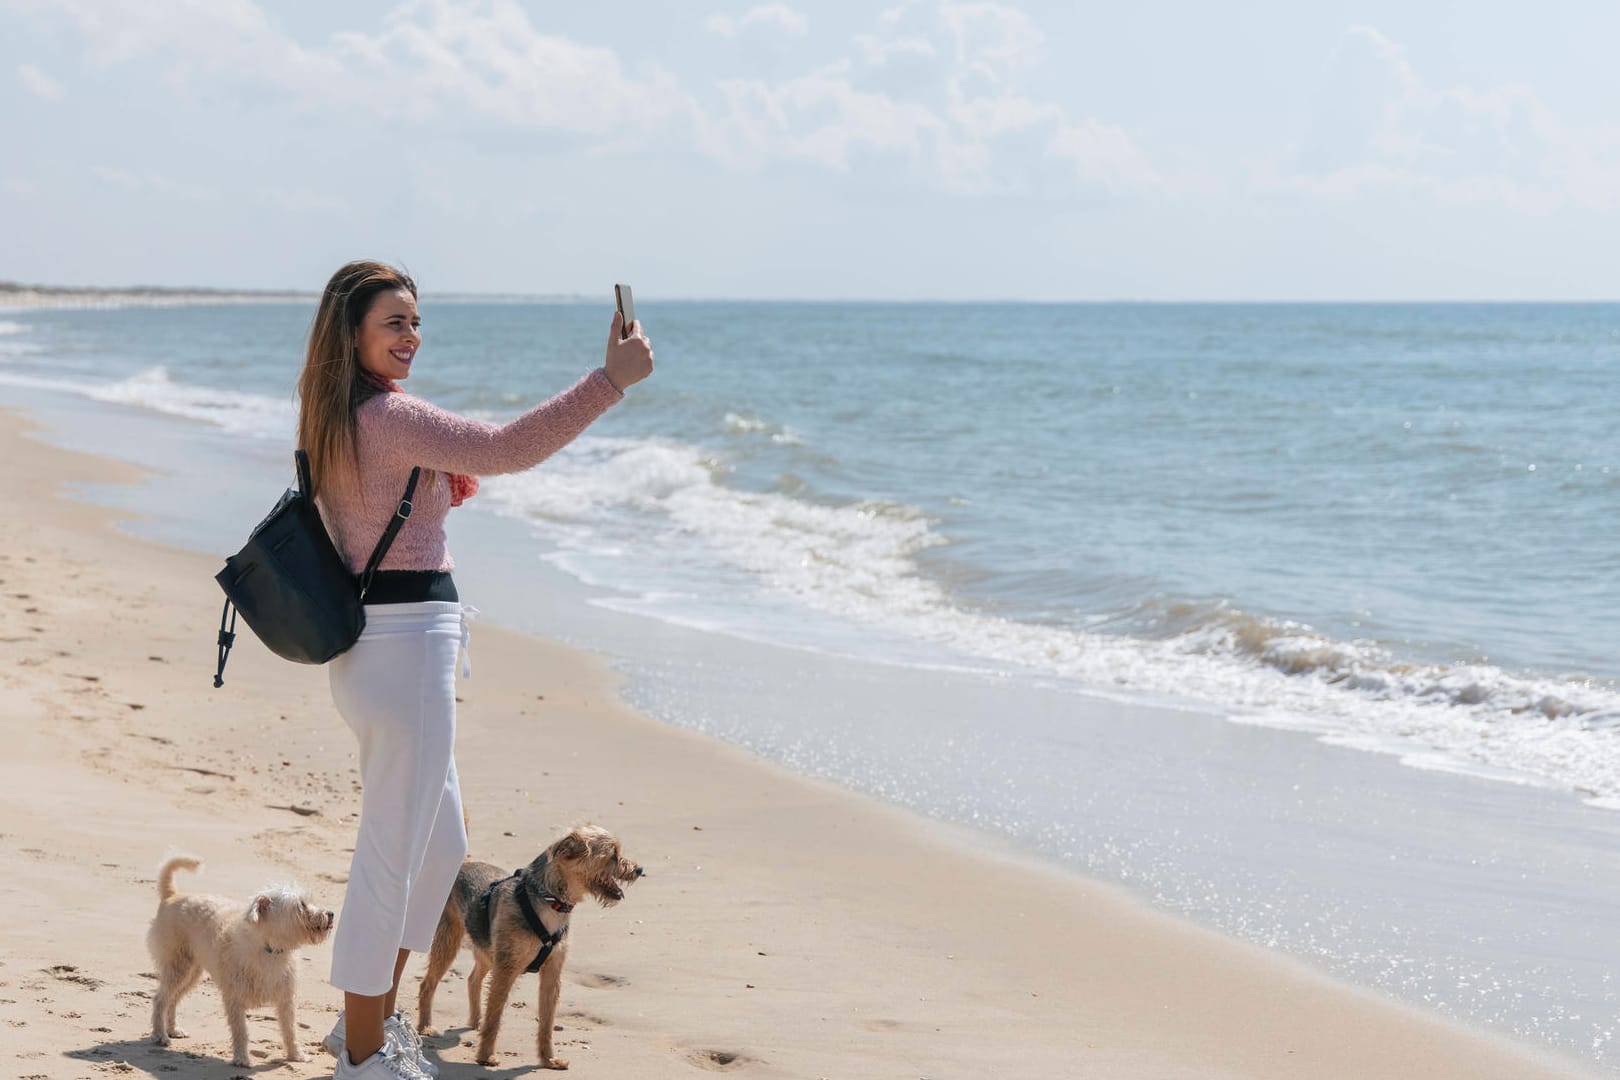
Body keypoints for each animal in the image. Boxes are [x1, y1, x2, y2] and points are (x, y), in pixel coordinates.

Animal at [147, 854, 333, 1068]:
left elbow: (290, 1029)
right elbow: (241, 1031)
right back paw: (160, 1035)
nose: (330, 914)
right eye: (301, 905)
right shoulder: (234, 998)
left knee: (173, 999)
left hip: (191, 973)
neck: (271, 949)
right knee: (160, 999)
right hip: (177, 968)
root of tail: (171, 896)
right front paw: (242, 1059)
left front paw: (296, 1055)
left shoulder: (286, 999)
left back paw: (173, 1030)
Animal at [417, 835, 638, 1068]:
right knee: (428, 984)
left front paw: (548, 1059)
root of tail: (463, 865)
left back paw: (476, 1020)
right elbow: (495, 1017)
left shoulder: (551, 973)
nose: (639, 870)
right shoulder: (506, 969)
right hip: (449, 940)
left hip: (487, 951)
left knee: (473, 979)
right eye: (613, 854)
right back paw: (426, 1027)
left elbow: (546, 1022)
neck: (551, 903)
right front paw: (486, 1055)